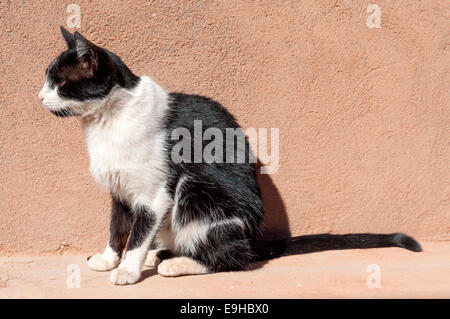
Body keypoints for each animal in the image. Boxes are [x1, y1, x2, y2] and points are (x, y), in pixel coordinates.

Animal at [38, 27, 422, 286]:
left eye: (59, 82)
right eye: (47, 80)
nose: (39, 97)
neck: (105, 120)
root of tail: (253, 238)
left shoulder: (154, 194)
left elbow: (137, 234)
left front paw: (127, 270)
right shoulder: (120, 190)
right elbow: (118, 227)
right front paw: (108, 259)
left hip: (195, 190)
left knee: (234, 258)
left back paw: (176, 263)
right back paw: (165, 253)